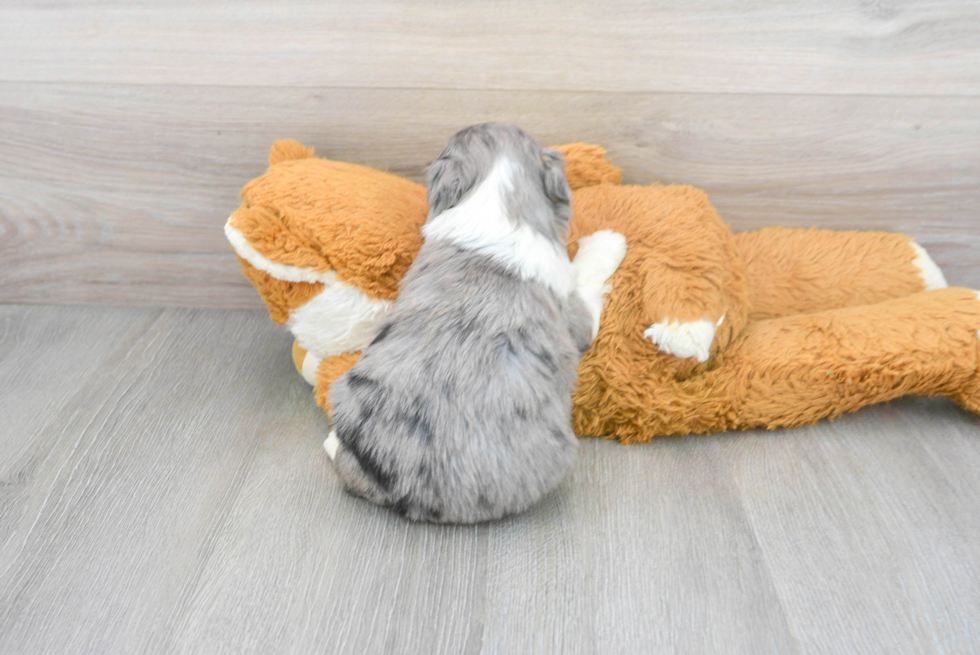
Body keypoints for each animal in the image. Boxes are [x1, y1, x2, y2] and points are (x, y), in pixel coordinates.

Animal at [326, 123, 624, 524]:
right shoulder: (574, 314)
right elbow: (587, 275)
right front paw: (608, 241)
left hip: (346, 392)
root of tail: (405, 484)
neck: (494, 199)